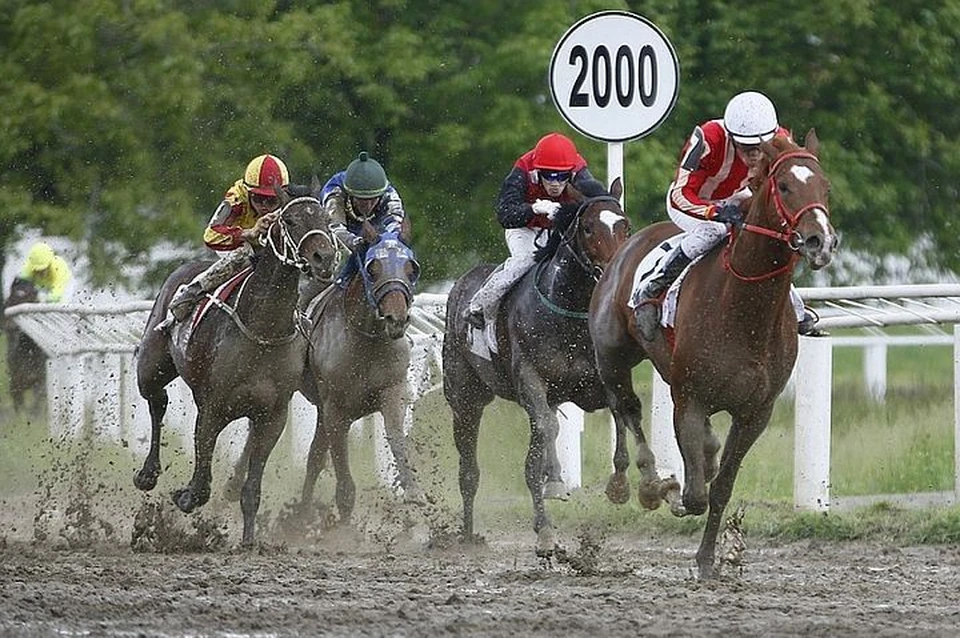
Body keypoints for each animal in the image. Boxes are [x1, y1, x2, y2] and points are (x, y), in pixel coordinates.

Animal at [3, 278, 46, 416]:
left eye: (32, 294)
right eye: (10, 298)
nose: (11, 326)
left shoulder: (40, 380)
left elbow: (37, 404)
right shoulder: (16, 383)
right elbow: (20, 406)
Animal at [135, 192, 338, 548]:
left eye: (327, 221)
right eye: (290, 221)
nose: (323, 258)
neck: (263, 330)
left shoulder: (272, 416)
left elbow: (252, 487)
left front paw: (249, 540)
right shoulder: (212, 408)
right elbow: (202, 482)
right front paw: (184, 496)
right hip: (150, 366)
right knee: (157, 402)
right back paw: (148, 473)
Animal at [296, 221, 424, 524]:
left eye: (411, 268)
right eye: (372, 268)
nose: (396, 318)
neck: (367, 339)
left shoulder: (392, 392)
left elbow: (396, 437)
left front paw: (412, 490)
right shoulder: (335, 411)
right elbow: (342, 472)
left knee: (314, 457)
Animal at [442, 180, 632, 556]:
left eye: (625, 226)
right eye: (588, 228)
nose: (613, 273)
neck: (568, 313)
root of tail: (461, 283)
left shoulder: (593, 386)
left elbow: (617, 415)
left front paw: (619, 486)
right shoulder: (531, 382)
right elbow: (541, 438)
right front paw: (547, 523)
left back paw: (552, 491)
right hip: (465, 399)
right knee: (469, 469)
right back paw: (469, 535)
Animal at [588, 132, 836, 584]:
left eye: (824, 186)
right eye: (785, 186)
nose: (820, 241)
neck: (744, 309)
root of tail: (623, 248)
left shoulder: (756, 413)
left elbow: (720, 487)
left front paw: (708, 560)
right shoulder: (690, 399)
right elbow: (695, 493)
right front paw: (670, 491)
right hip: (613, 356)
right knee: (625, 409)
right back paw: (640, 484)